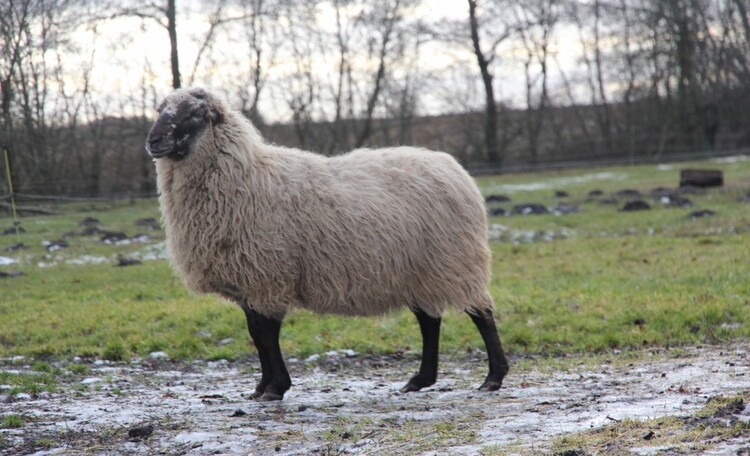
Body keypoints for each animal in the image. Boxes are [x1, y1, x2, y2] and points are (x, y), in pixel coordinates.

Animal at [145, 87, 512, 400]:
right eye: (160, 109)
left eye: (195, 113)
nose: (153, 140)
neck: (244, 175)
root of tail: (453, 168)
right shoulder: (249, 281)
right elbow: (256, 335)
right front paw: (261, 387)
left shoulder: (268, 276)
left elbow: (266, 335)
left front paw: (276, 387)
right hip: (419, 268)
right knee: (429, 320)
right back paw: (420, 380)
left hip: (455, 259)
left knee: (481, 313)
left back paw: (493, 377)